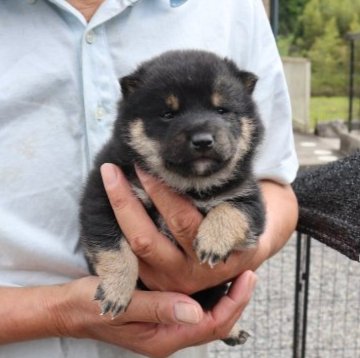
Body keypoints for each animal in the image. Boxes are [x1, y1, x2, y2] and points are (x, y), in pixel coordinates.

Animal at [80, 49, 266, 346]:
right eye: (168, 114)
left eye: (221, 110)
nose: (203, 140)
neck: (190, 185)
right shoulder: (102, 195)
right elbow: (113, 248)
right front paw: (116, 290)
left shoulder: (249, 200)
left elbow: (230, 210)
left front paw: (213, 241)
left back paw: (233, 329)